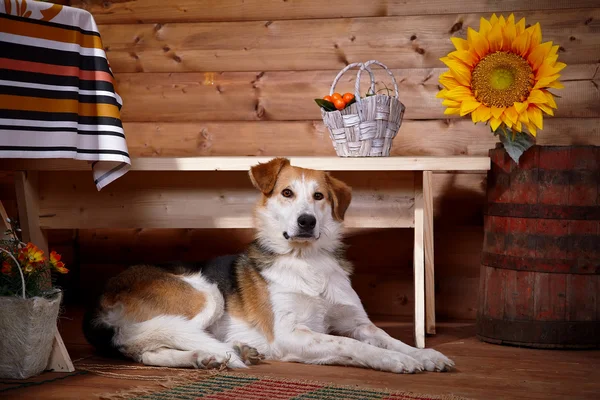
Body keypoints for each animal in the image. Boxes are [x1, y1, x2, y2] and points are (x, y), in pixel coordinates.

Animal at [82, 155, 452, 372]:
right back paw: (219, 352)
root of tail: (101, 300)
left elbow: (389, 337)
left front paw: (424, 354)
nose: (306, 222)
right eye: (286, 193)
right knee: (144, 342)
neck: (306, 261)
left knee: (150, 349)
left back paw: (214, 355)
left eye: (319, 196)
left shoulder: (358, 323)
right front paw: (394, 360)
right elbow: (347, 344)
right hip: (205, 293)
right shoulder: (288, 335)